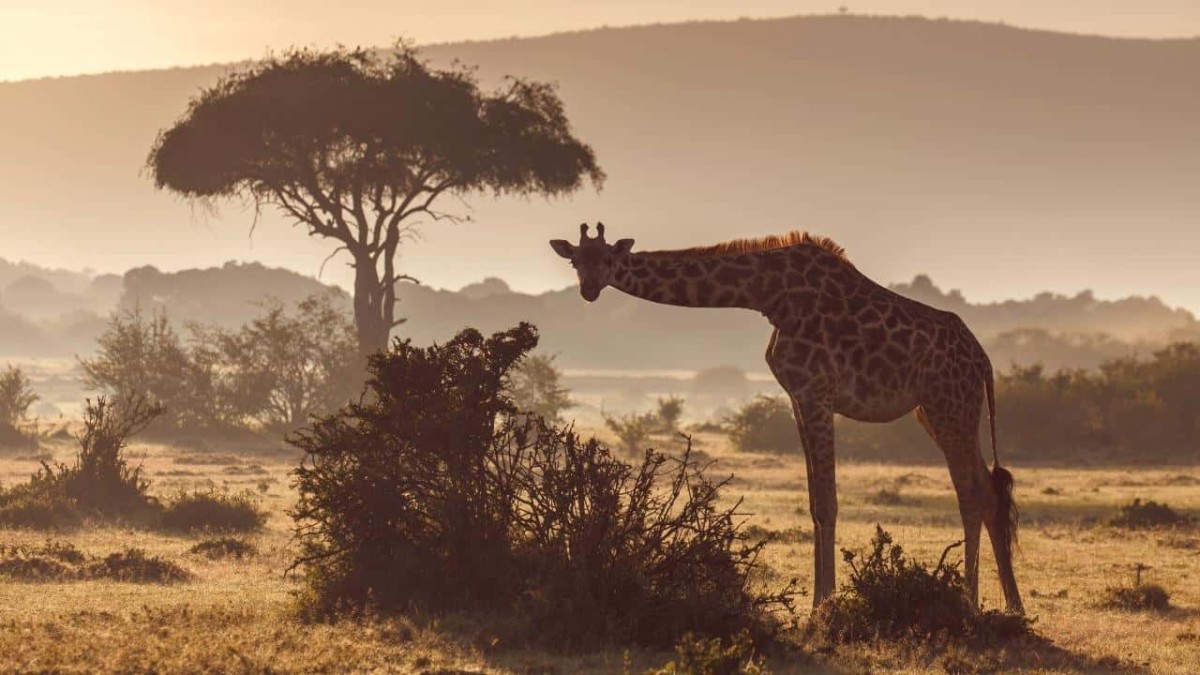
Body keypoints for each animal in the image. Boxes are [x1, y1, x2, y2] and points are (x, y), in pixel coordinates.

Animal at [549, 220, 1022, 610]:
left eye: (609, 259)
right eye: (575, 260)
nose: (590, 289)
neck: (766, 294)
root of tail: (982, 360)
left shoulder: (817, 391)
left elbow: (827, 503)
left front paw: (822, 606)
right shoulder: (798, 396)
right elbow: (814, 502)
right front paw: (819, 599)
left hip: (949, 404)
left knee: (971, 491)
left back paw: (969, 599)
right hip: (934, 409)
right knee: (987, 488)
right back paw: (1012, 605)